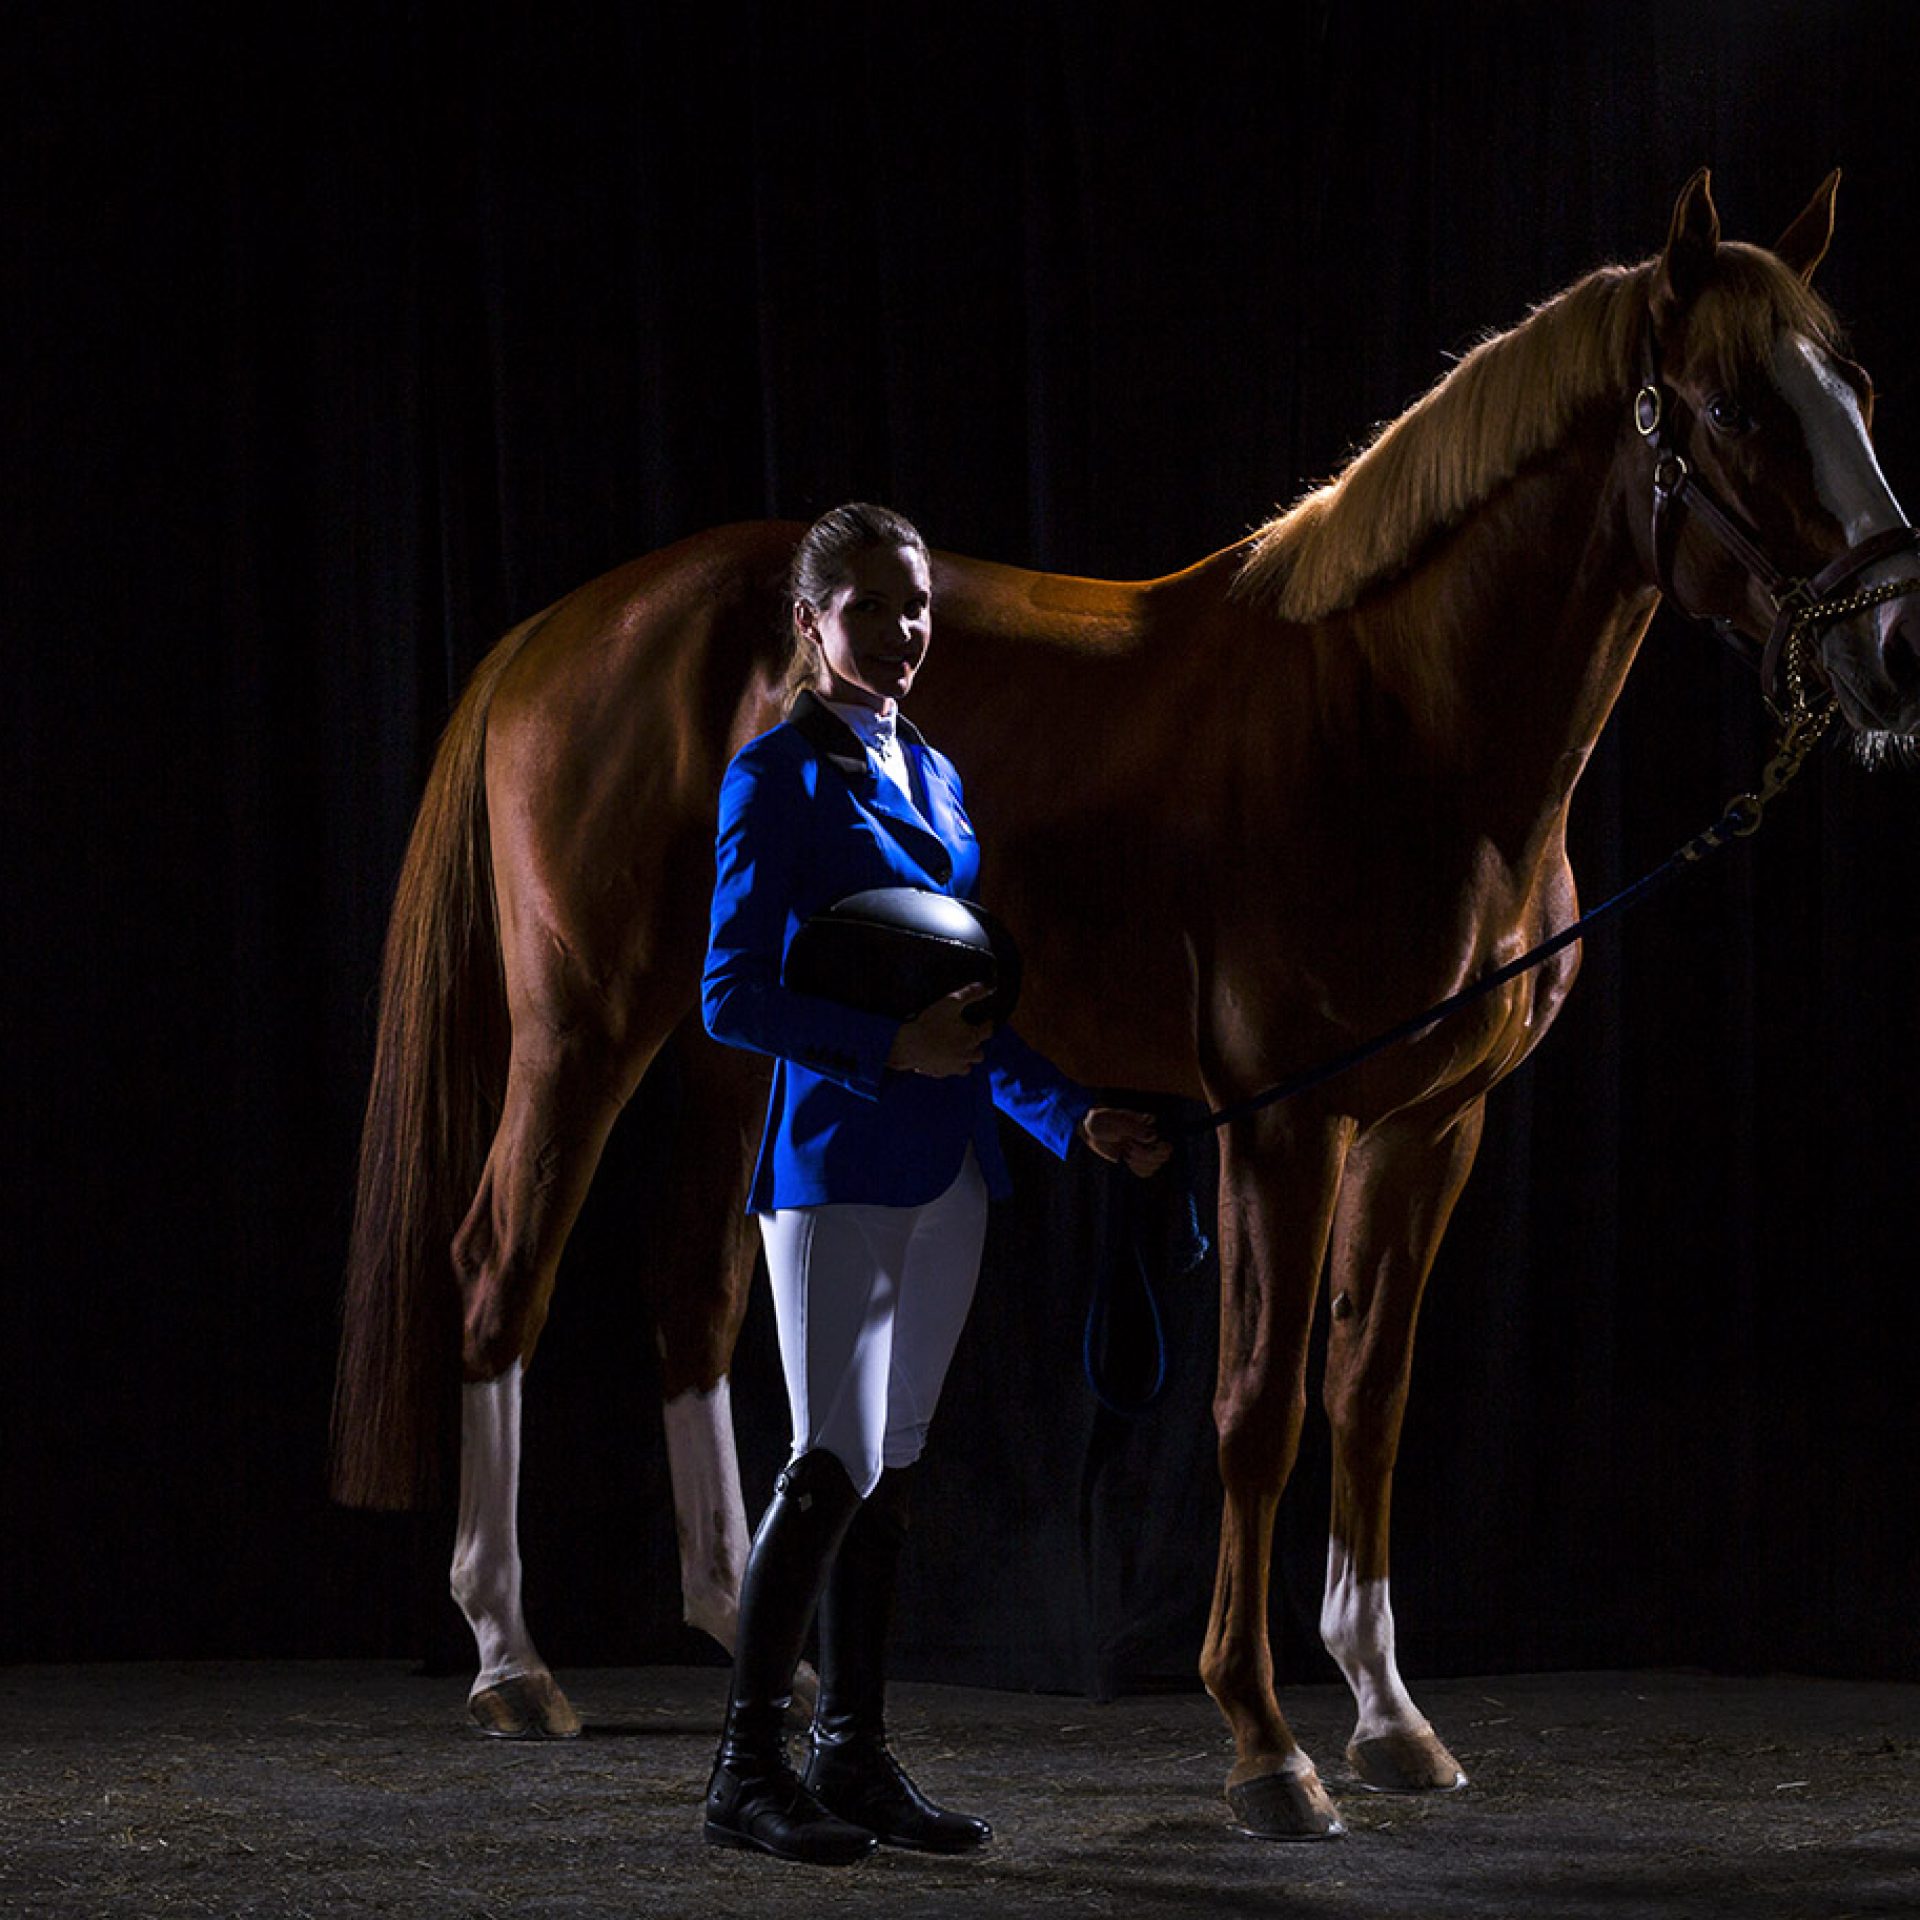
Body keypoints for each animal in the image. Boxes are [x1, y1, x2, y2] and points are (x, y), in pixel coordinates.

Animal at [331, 170, 1920, 1837]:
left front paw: (1391, 1714)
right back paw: (511, 1662)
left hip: (729, 1047)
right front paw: (1266, 1743)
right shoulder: (1283, 1126)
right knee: (499, 1267)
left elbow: (1370, 1392)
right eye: (1734, 406)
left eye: (1858, 390)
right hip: (586, 1024)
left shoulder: (1433, 1126)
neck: (1396, 724)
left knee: (694, 1285)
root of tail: (557, 633)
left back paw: (736, 1626)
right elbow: (1260, 1406)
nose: (1895, 649)